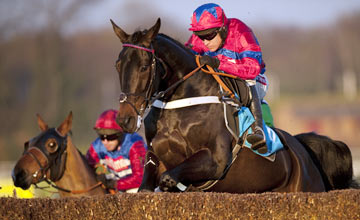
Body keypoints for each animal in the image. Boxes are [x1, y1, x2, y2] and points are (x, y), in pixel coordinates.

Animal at [110, 18, 358, 192]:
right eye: (118, 65)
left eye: (144, 66)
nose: (125, 119)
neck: (180, 104)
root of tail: (302, 149)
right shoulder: (155, 156)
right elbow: (146, 187)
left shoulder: (216, 160)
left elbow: (169, 178)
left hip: (307, 188)